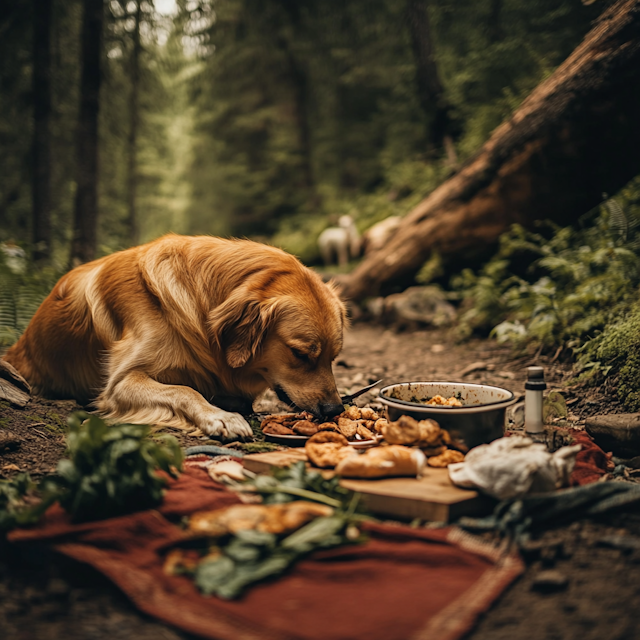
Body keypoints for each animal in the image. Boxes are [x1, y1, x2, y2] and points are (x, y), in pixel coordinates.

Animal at [2, 235, 348, 440]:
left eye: (334, 358)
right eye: (300, 354)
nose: (335, 410)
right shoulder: (120, 382)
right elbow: (183, 390)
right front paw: (221, 417)